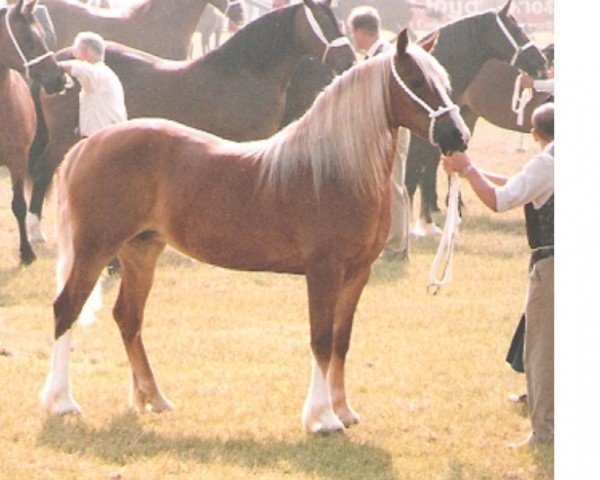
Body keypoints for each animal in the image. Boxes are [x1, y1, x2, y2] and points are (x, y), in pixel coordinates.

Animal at [42, 31, 472, 436]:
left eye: (444, 81)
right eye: (416, 81)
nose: (458, 136)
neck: (334, 169)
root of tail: (87, 146)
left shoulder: (357, 273)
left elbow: (342, 340)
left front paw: (344, 410)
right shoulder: (324, 271)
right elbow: (321, 340)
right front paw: (322, 418)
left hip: (140, 252)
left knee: (128, 318)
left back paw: (153, 398)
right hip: (94, 249)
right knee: (67, 309)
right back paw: (62, 402)